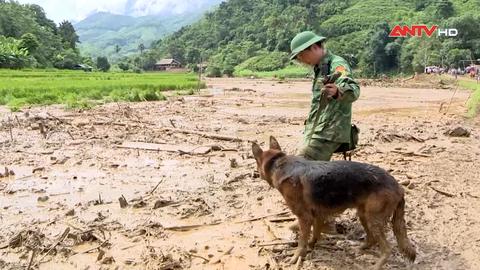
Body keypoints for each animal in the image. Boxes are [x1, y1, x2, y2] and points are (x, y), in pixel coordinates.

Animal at [251, 136, 416, 268]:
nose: (255, 175)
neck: (278, 162)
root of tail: (398, 186)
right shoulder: (317, 215)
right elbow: (315, 233)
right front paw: (312, 245)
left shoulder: (305, 217)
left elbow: (302, 241)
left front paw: (297, 256)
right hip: (364, 215)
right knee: (371, 239)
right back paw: (360, 249)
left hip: (373, 219)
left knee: (387, 249)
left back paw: (376, 266)